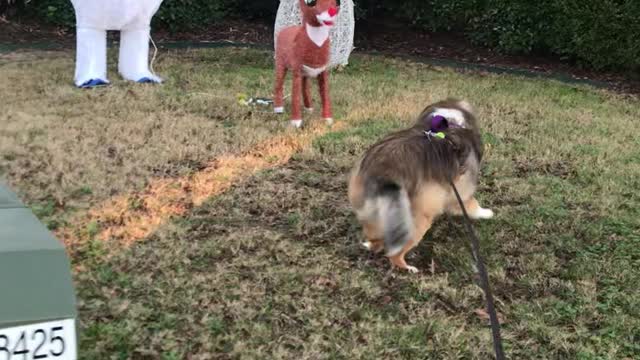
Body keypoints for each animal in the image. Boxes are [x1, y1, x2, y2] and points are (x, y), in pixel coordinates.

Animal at [272, 0, 340, 128]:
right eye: (311, 2)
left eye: (337, 2)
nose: (332, 11)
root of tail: (286, 29)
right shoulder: (296, 72)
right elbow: (295, 95)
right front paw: (296, 122)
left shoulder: (323, 72)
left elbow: (325, 95)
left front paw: (327, 119)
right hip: (280, 66)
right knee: (278, 85)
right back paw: (278, 109)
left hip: (305, 74)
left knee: (305, 87)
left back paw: (309, 108)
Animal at [348, 98, 492, 272]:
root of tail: (385, 172)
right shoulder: (461, 191)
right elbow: (472, 204)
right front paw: (486, 213)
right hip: (417, 220)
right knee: (394, 254)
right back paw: (408, 268)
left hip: (372, 211)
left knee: (376, 238)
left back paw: (372, 245)